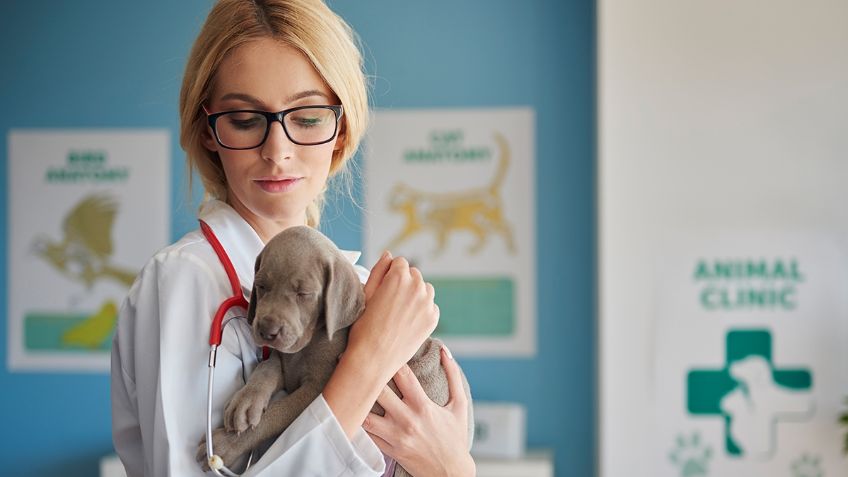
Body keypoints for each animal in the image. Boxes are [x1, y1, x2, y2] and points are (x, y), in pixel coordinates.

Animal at [200, 225, 476, 474]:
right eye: (262, 286)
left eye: (304, 293)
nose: (267, 331)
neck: (313, 339)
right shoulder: (284, 359)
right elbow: (266, 369)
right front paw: (246, 401)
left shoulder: (316, 389)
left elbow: (277, 413)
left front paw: (224, 444)